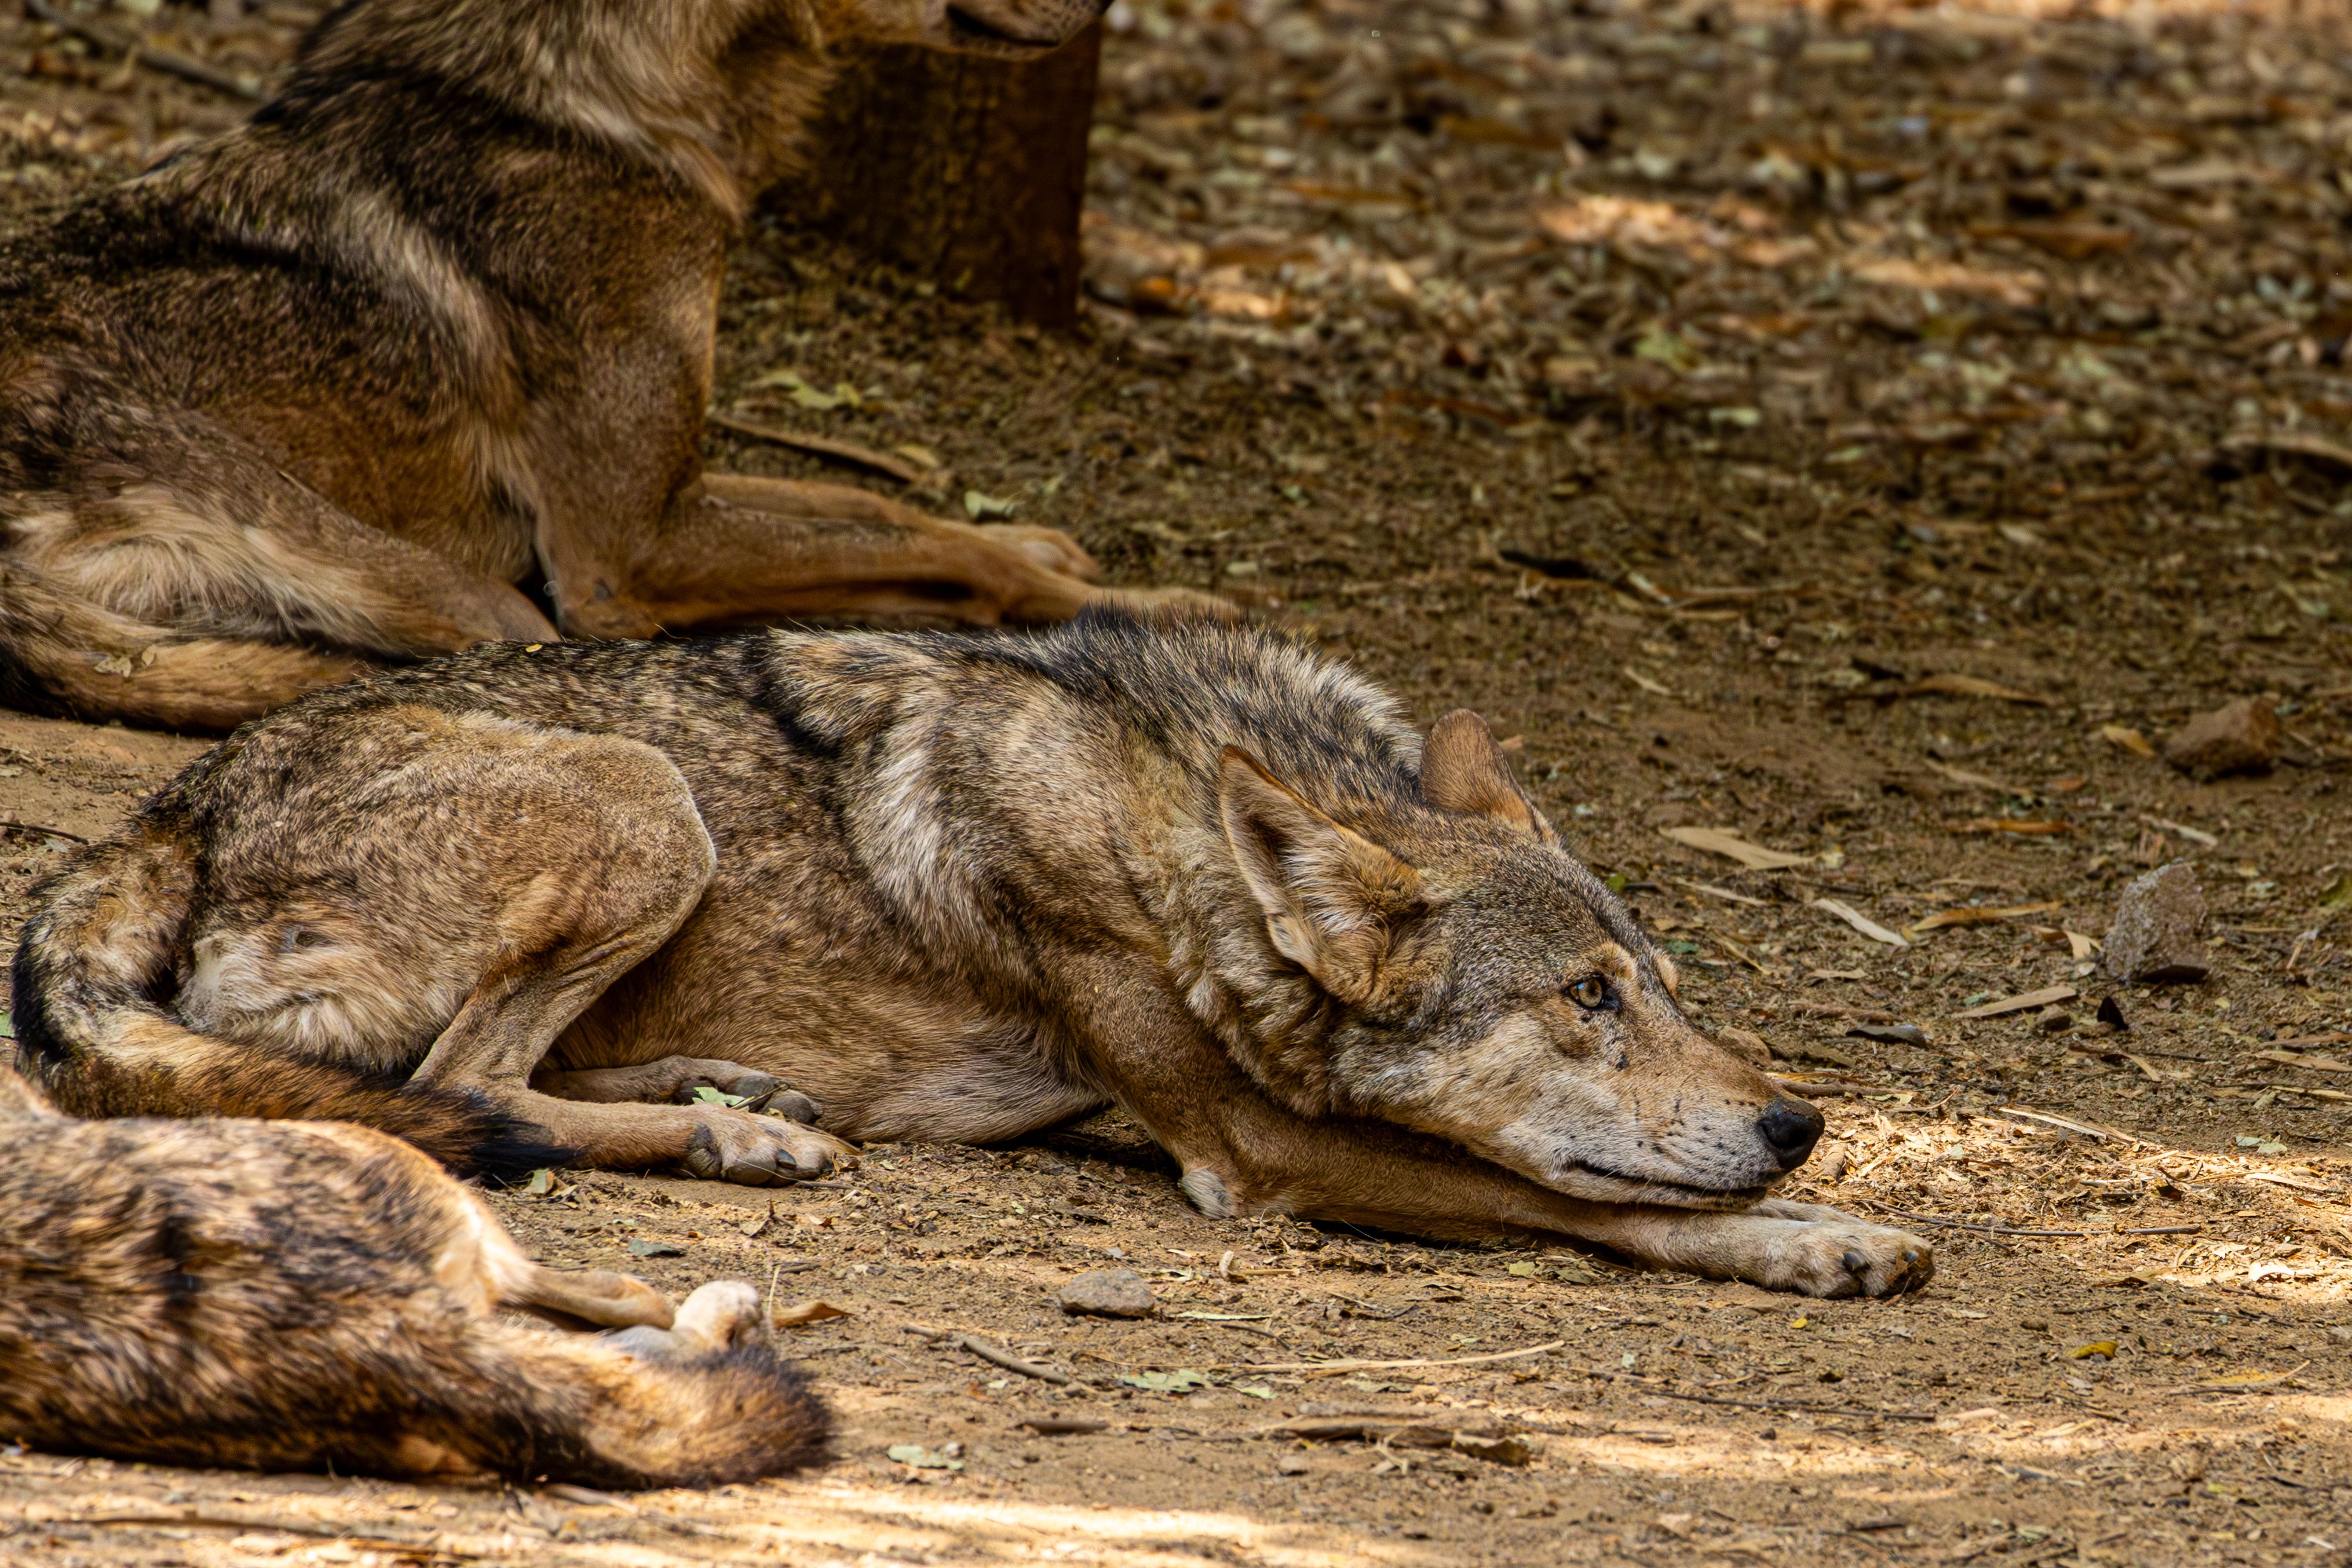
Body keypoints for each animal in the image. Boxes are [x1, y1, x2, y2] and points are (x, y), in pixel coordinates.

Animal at [0, 0, 1210, 734]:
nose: (1109, 9)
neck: (584, 99)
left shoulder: (671, 483)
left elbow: (883, 507)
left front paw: (1048, 545)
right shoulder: (624, 551)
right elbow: (943, 547)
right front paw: (1157, 606)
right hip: (492, 603)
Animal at [13, 615, 1932, 1297]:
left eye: (1662, 982)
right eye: (1584, 1003)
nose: (1798, 1122)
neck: (1177, 832)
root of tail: (174, 801)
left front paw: (1823, 1206)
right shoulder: (1262, 1152)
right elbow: (1590, 1201)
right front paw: (1822, 1235)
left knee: (501, 1078)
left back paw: (745, 1099)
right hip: (647, 801)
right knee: (462, 1086)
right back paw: (745, 1133)